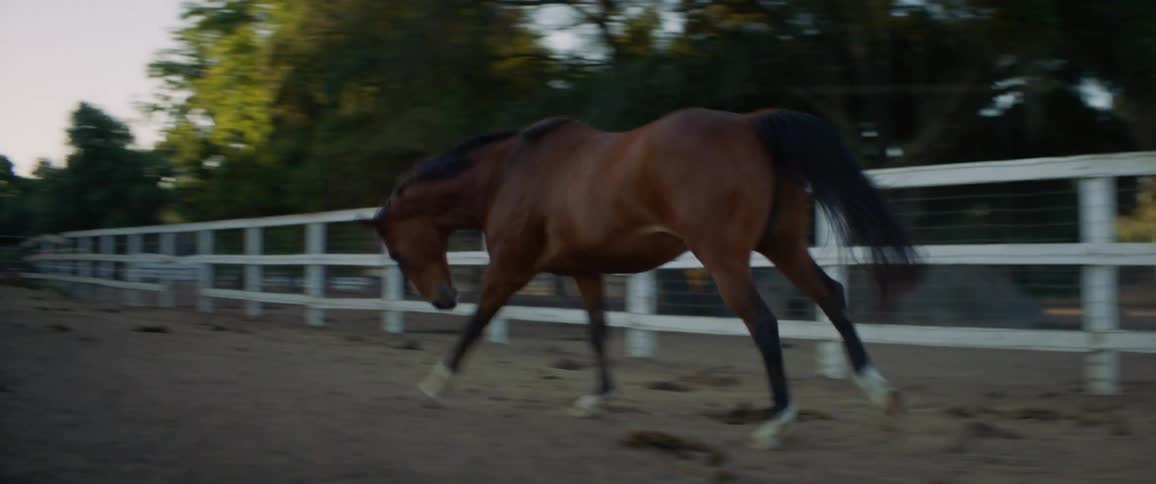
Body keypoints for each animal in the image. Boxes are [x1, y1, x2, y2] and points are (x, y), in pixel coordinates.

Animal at [364, 107, 925, 449]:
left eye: (395, 250)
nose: (441, 299)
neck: (509, 174)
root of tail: (750, 124)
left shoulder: (511, 267)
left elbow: (478, 321)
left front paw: (435, 382)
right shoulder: (586, 270)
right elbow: (597, 332)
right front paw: (597, 399)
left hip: (725, 259)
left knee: (765, 324)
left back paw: (776, 422)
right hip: (782, 245)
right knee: (831, 296)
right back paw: (879, 391)